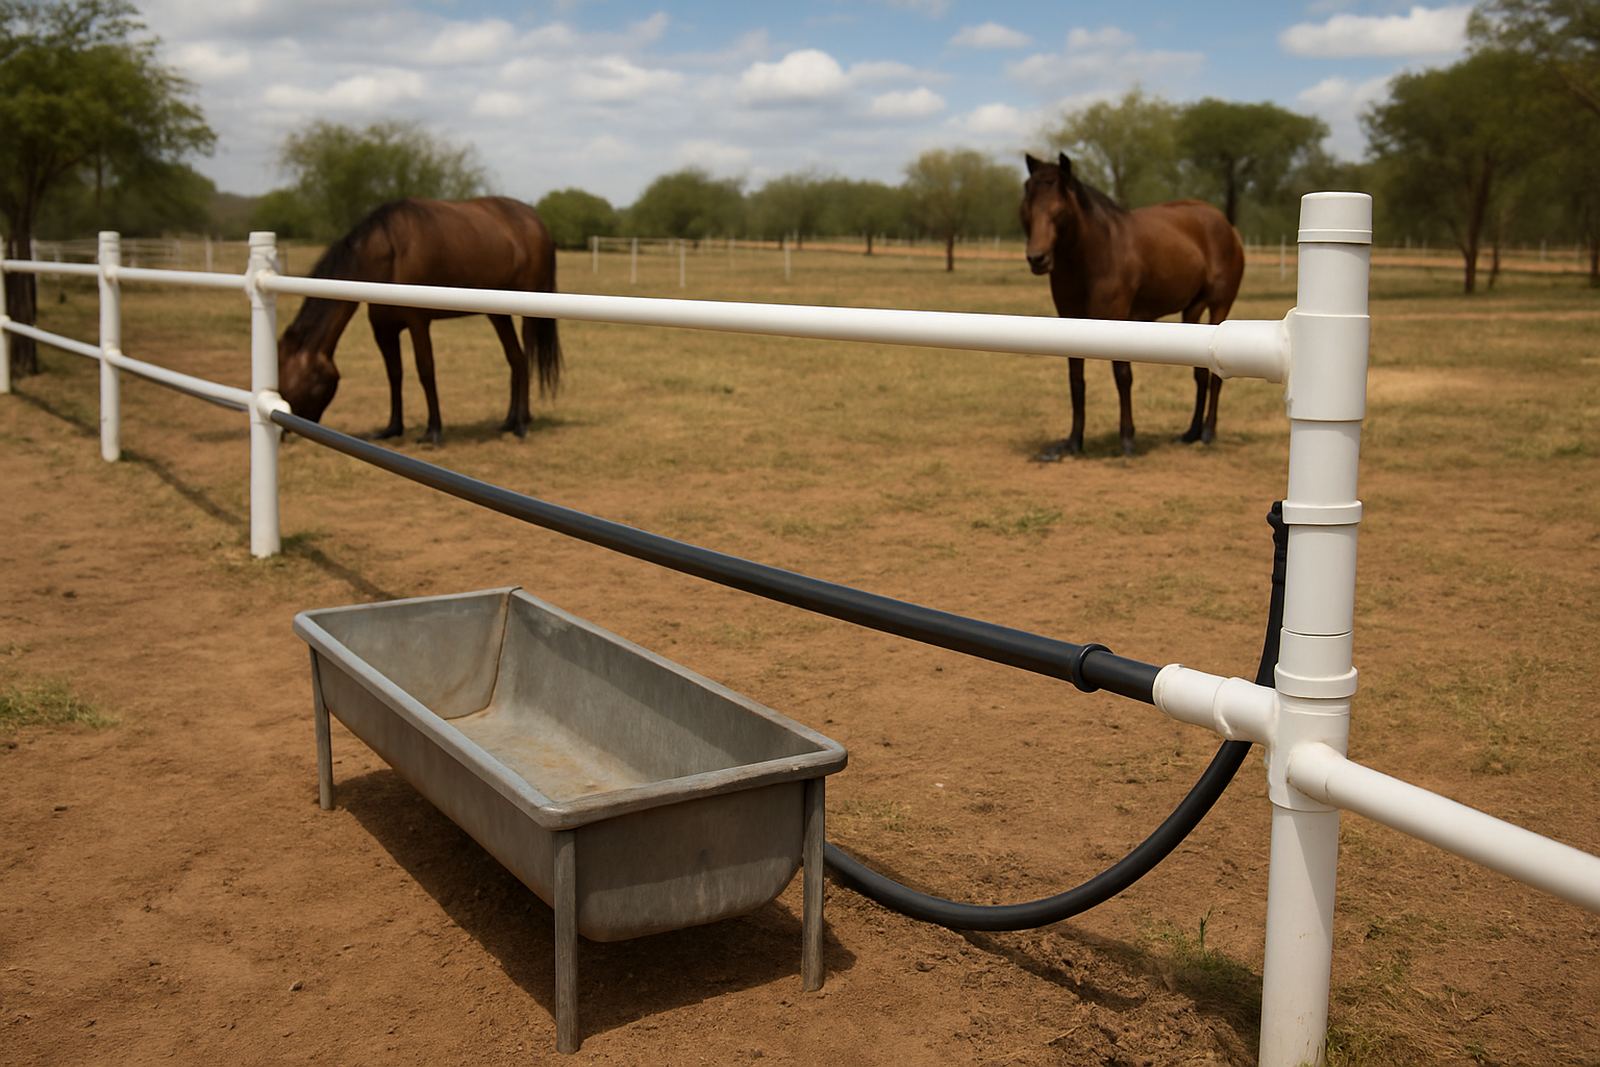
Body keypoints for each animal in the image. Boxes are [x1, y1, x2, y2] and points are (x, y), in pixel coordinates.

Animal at [277, 196, 563, 446]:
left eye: (294, 376)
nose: (284, 431)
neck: (388, 251)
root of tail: (536, 221)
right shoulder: (383, 329)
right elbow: (394, 373)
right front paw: (392, 428)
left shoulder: (418, 322)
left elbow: (426, 370)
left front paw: (433, 431)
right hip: (498, 315)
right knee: (516, 359)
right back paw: (509, 421)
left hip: (528, 311)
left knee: (526, 358)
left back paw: (522, 424)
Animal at [1020, 153, 1244, 459]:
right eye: (1027, 202)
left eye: (1059, 207)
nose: (1037, 259)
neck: (1095, 254)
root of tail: (1227, 226)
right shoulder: (1070, 320)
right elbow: (1076, 380)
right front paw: (1074, 441)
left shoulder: (1118, 319)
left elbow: (1122, 376)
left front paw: (1127, 439)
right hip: (1192, 311)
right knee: (1200, 373)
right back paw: (1191, 433)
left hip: (1220, 308)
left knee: (1215, 375)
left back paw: (1208, 433)